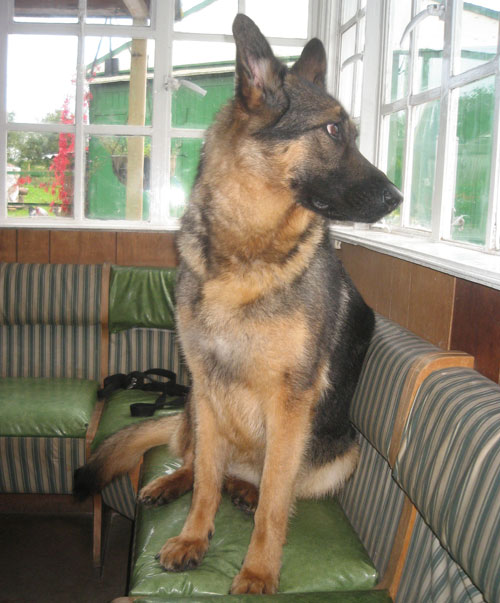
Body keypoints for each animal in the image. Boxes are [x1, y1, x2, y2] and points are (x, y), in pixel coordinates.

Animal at [74, 14, 402, 596]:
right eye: (333, 131)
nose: (398, 198)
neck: (248, 249)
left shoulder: (291, 405)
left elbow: (275, 501)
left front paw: (258, 570)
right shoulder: (205, 387)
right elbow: (206, 477)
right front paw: (193, 536)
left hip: (341, 452)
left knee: (271, 484)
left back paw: (246, 491)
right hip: (196, 409)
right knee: (199, 457)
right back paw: (175, 483)